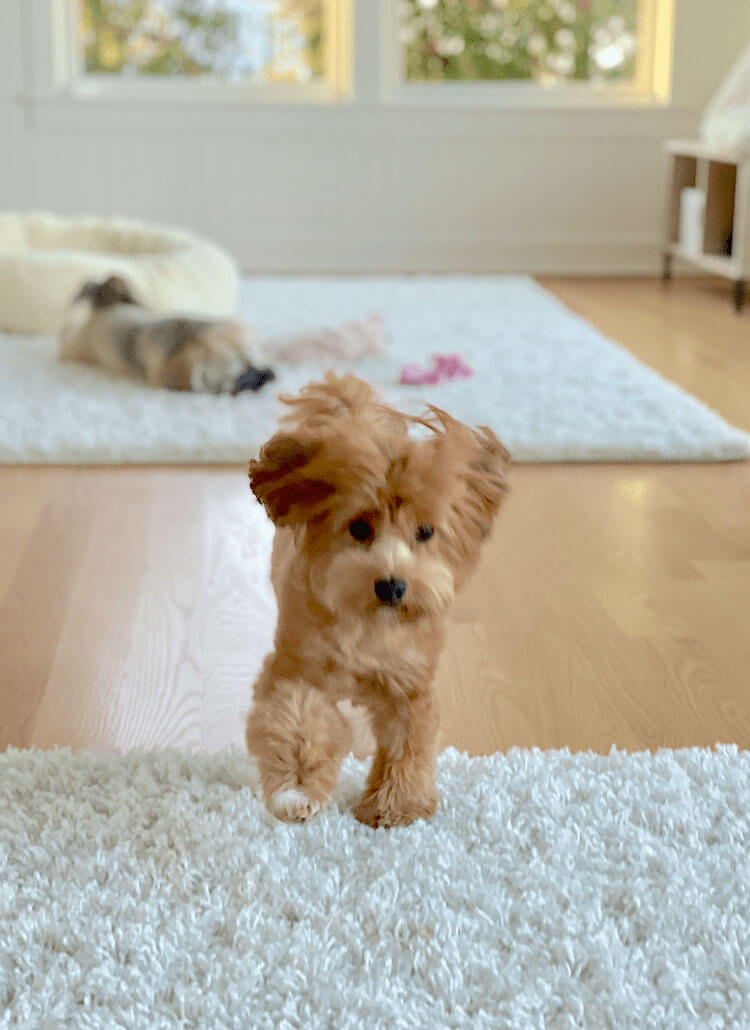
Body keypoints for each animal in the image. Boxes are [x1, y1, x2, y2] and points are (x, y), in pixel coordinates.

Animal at [246, 374, 508, 824]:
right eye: (359, 528)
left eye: (426, 532)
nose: (392, 585)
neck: (368, 625)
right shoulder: (297, 670)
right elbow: (297, 727)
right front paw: (297, 791)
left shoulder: (409, 684)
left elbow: (410, 743)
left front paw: (396, 804)